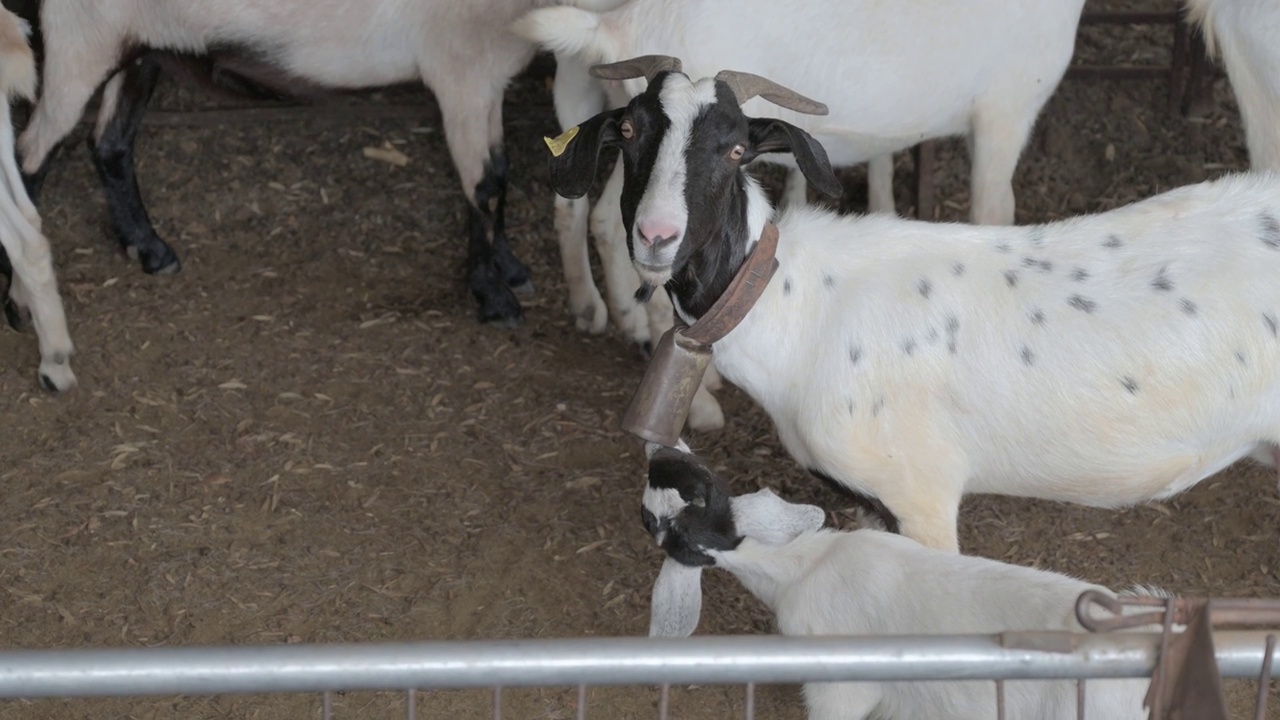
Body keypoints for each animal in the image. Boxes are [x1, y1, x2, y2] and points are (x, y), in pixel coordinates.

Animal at [514, 0, 1085, 425]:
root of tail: (623, 21)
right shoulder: (1006, 110)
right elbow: (996, 213)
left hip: (589, 93)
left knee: (597, 217)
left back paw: (601, 313)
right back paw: (696, 400)